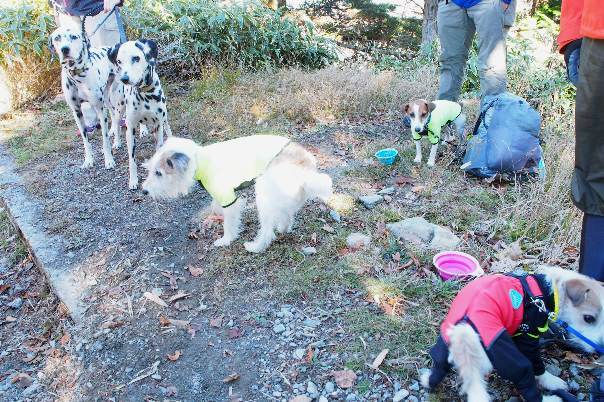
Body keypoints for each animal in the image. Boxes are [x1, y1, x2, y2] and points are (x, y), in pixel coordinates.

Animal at [48, 21, 124, 169]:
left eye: (74, 36)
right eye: (57, 38)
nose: (65, 49)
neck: (77, 76)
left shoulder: (99, 110)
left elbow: (105, 140)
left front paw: (109, 160)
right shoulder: (77, 112)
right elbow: (86, 141)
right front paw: (88, 160)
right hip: (106, 99)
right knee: (113, 116)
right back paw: (116, 138)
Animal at [106, 39, 171, 190]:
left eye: (136, 58)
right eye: (119, 61)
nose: (124, 78)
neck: (145, 93)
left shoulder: (158, 125)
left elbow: (159, 147)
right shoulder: (130, 130)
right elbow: (132, 159)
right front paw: (133, 180)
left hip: (164, 117)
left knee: (166, 126)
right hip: (119, 110)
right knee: (116, 126)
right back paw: (117, 142)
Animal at [141, 137, 332, 253]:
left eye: (158, 173)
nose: (144, 191)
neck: (199, 160)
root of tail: (305, 169)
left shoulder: (228, 199)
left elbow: (229, 223)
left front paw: (226, 240)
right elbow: (215, 205)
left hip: (263, 195)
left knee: (267, 231)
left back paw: (255, 246)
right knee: (286, 216)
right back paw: (283, 228)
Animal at [420, 266, 604, 402]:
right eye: (588, 318)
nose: (599, 349)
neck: (548, 290)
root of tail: (465, 332)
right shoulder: (528, 337)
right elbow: (538, 366)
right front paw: (551, 380)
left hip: (443, 347)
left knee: (439, 366)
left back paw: (427, 380)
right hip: (515, 362)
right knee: (530, 388)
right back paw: (550, 398)